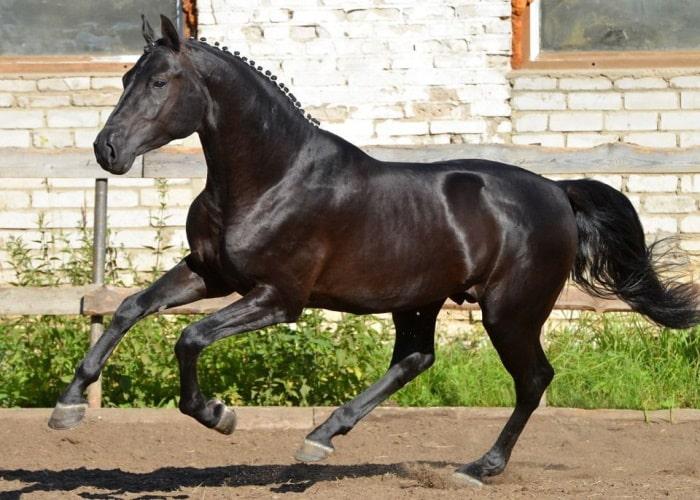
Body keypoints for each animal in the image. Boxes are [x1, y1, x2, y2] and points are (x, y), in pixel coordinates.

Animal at [48, 15, 699, 486]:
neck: (271, 176)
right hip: (421, 300)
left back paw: (477, 469)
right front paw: (68, 407)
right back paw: (319, 438)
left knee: (533, 378)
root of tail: (558, 192)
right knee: (415, 359)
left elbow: (190, 338)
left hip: (509, 312)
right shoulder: (209, 274)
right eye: (126, 79)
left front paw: (219, 415)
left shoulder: (278, 298)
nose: (107, 149)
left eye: (160, 82)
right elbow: (130, 308)